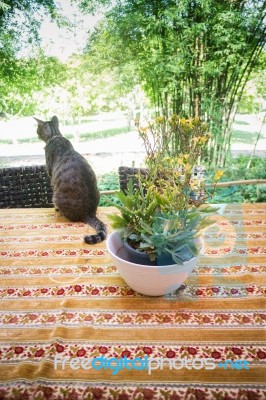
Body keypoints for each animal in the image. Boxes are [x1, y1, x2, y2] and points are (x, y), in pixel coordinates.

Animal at [34, 115, 107, 244]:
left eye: (37, 129)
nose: (36, 134)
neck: (55, 135)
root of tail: (88, 213)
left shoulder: (50, 174)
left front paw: (55, 209)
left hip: (56, 197)